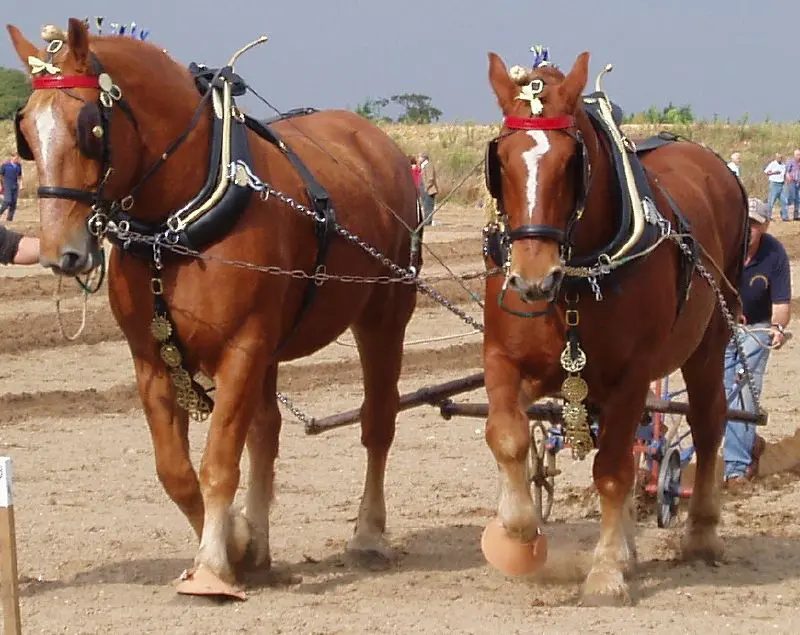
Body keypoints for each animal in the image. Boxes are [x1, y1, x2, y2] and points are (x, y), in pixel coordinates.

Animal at [7, 18, 418, 596]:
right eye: (25, 130)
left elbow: (219, 459)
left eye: (89, 126)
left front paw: (212, 569)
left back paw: (368, 535)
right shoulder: (152, 358)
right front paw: (238, 544)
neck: (176, 224)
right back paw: (263, 547)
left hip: (384, 313)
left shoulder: (242, 347)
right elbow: (176, 471)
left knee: (377, 421)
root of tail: (377, 143)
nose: (58, 252)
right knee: (267, 431)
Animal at [482, 52, 752, 604]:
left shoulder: (631, 375)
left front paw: (605, 572)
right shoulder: (504, 359)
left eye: (572, 161)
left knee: (708, 423)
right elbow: (508, 435)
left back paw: (701, 533)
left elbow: (610, 472)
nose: (532, 278)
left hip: (708, 344)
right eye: (501, 160)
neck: (572, 283)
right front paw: (517, 533)